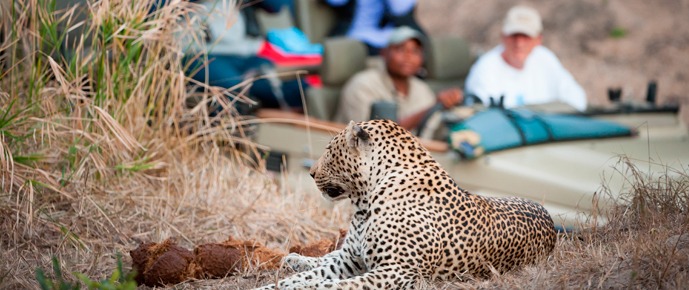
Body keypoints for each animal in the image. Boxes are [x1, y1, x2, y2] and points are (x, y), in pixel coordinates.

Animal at [255, 119, 556, 288]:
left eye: (329, 151)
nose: (311, 172)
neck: (365, 202)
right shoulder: (351, 259)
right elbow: (308, 277)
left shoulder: (396, 271)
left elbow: (330, 286)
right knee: (324, 256)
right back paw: (294, 258)